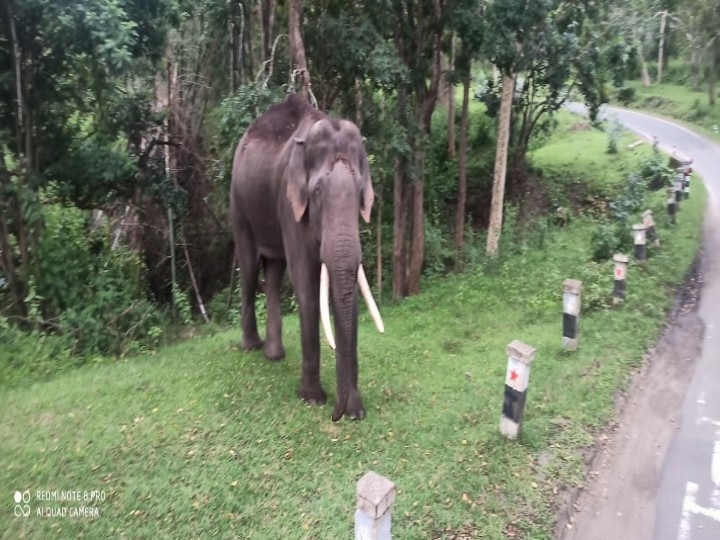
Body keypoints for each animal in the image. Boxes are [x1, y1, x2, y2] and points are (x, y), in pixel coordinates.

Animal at [233, 94, 386, 422]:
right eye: (316, 191)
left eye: (360, 192)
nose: (337, 414)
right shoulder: (290, 203)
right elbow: (305, 285)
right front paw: (313, 399)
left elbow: (350, 293)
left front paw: (356, 410)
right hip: (238, 203)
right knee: (249, 269)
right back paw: (251, 348)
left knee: (274, 271)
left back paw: (275, 356)